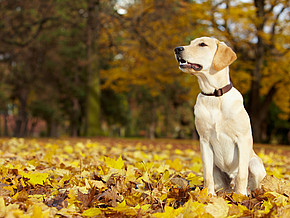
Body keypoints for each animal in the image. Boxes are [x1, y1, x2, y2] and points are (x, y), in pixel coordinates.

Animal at [173, 36, 266, 195]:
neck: (214, 96)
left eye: (202, 44)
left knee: (252, 183)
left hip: (255, 164)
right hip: (218, 171)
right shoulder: (204, 141)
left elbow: (242, 174)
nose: (177, 49)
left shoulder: (243, 139)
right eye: (190, 43)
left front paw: (240, 196)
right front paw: (208, 195)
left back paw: (247, 193)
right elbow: (207, 175)